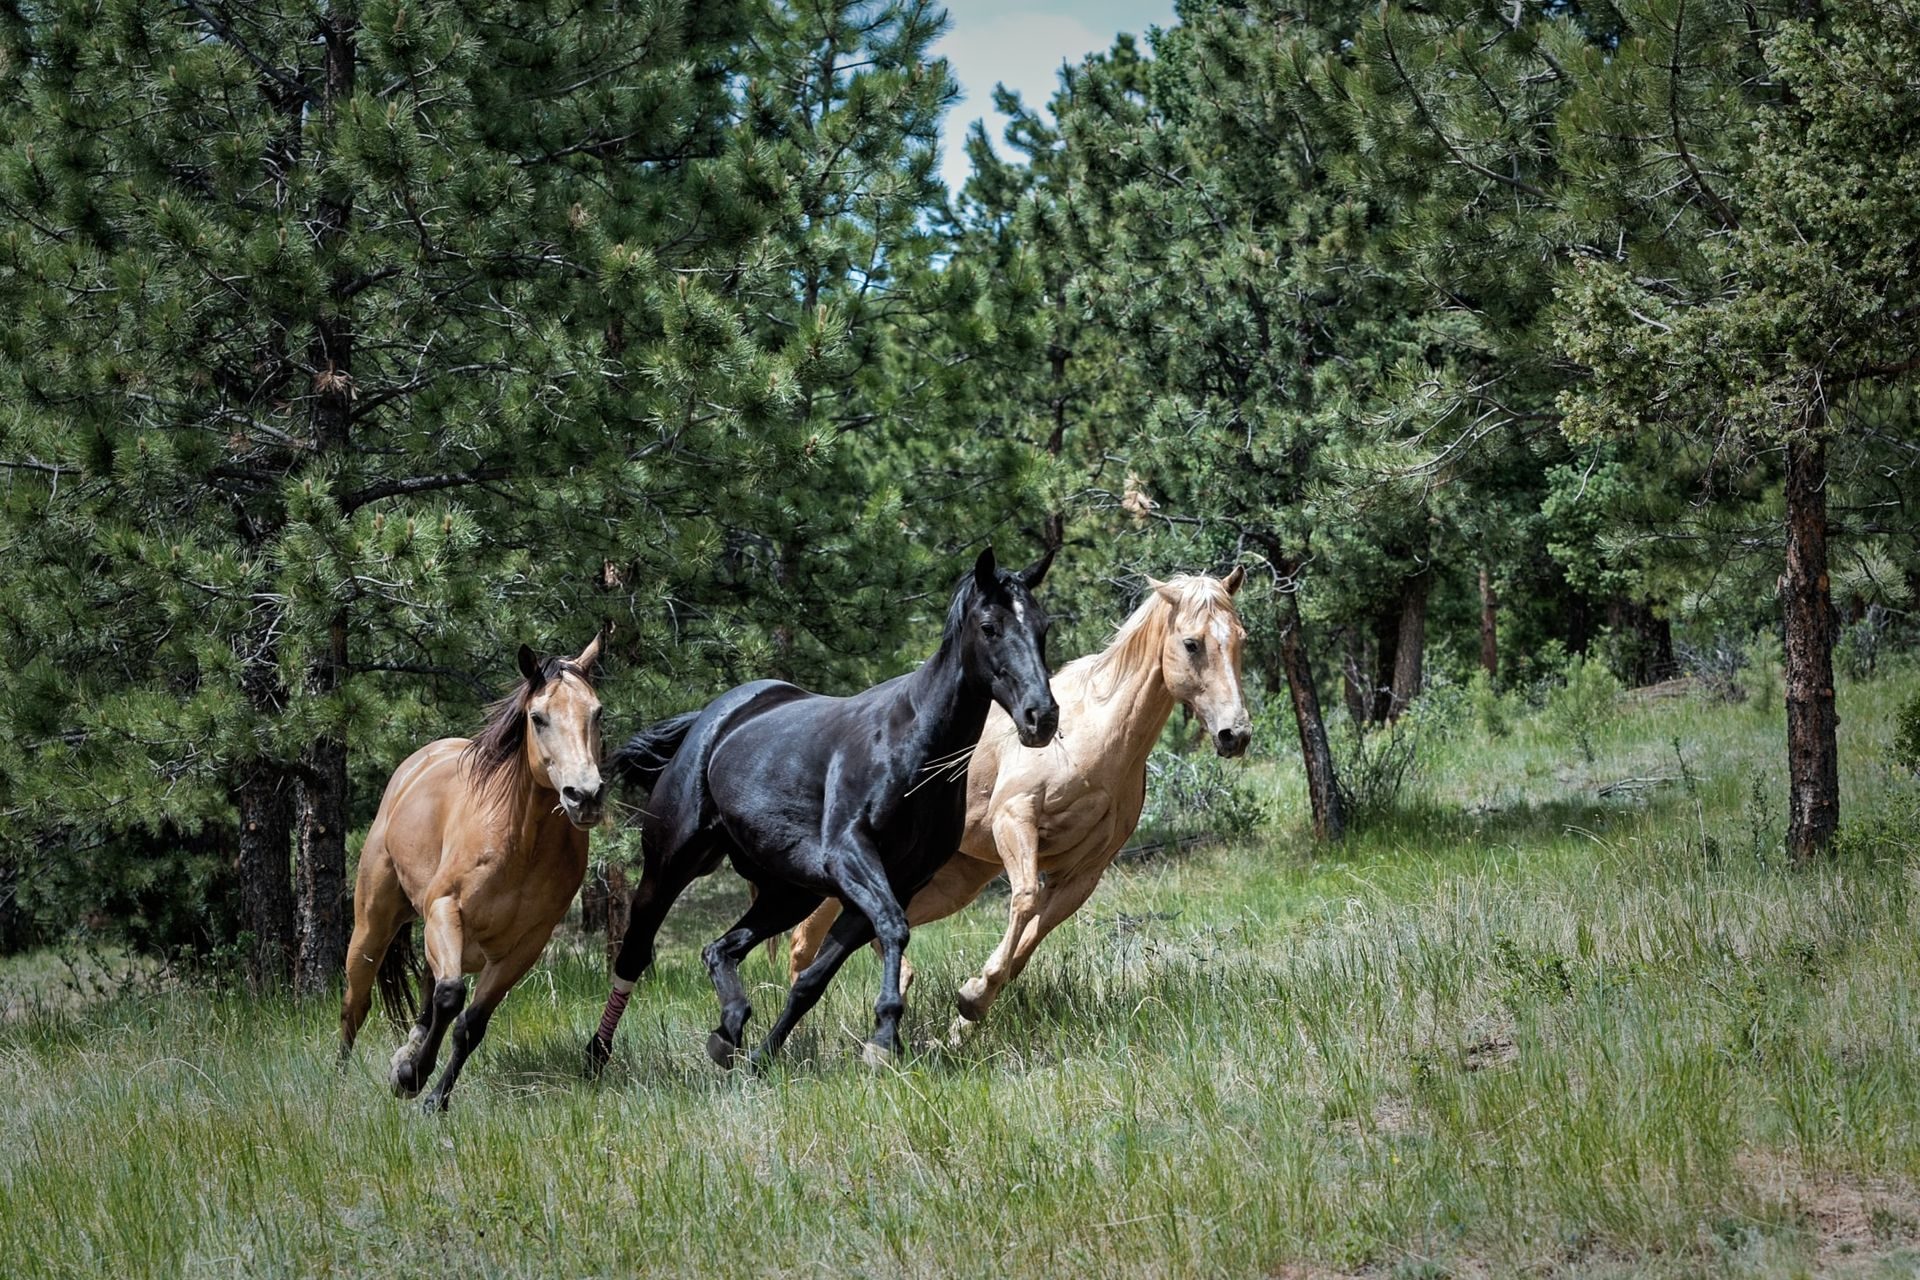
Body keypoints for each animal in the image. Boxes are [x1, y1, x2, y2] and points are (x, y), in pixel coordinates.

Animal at [337, 637, 602, 1113]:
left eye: (597, 713)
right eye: (538, 717)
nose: (585, 796)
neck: (521, 841)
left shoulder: (525, 946)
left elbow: (470, 1023)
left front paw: (431, 1096)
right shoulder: (446, 909)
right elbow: (450, 996)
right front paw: (412, 1076)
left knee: (427, 989)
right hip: (373, 926)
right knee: (356, 1003)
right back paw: (339, 1082)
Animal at [587, 548, 1059, 1074]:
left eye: (1042, 626)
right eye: (989, 626)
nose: (1041, 717)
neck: (913, 747)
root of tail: (712, 719)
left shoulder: (891, 882)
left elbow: (813, 979)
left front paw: (765, 1056)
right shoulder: (851, 856)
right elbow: (893, 927)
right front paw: (883, 1037)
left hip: (789, 893)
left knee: (719, 949)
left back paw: (729, 1030)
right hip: (669, 865)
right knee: (634, 953)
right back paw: (597, 1055)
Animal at [779, 575, 1244, 1036]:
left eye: (1240, 637)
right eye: (1191, 643)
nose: (1234, 734)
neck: (1095, 734)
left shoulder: (1084, 872)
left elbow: (1032, 938)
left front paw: (968, 1012)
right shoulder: (1015, 820)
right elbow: (1023, 900)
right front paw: (972, 997)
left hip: (953, 881)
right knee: (805, 939)